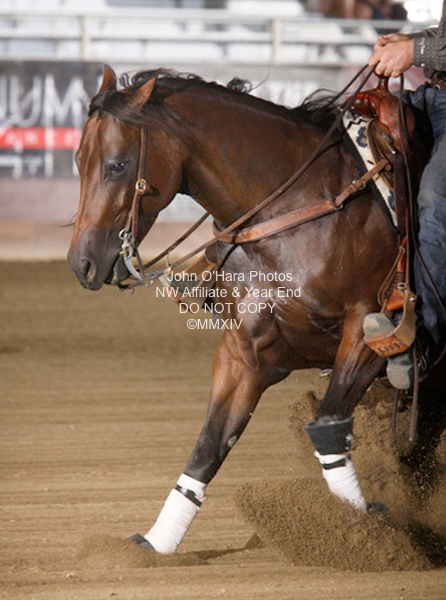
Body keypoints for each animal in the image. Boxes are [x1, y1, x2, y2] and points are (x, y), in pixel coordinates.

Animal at [67, 66, 446, 554]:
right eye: (78, 160)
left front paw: (366, 538)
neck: (294, 209)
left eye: (117, 164)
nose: (82, 263)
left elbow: (327, 427)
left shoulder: (369, 333)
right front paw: (155, 544)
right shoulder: (245, 355)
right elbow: (209, 446)